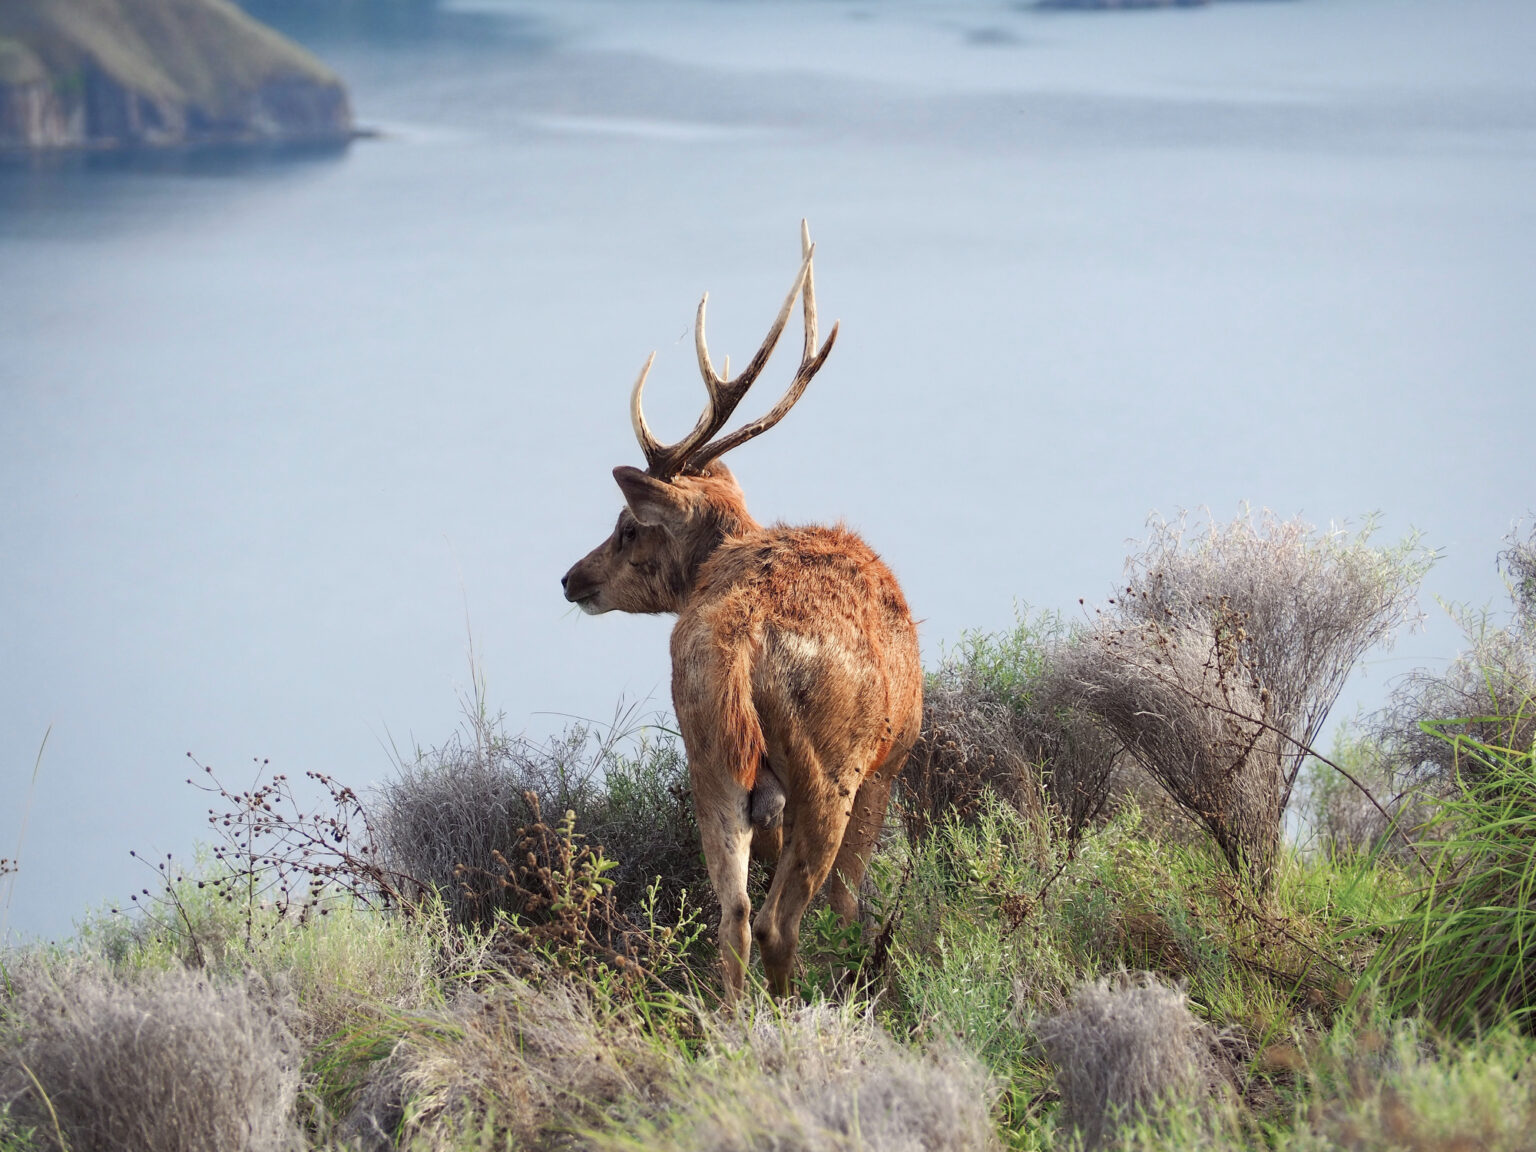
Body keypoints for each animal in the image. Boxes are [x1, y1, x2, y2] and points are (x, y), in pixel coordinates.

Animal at [561, 223, 923, 1002]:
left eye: (627, 528)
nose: (571, 578)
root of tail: (742, 638)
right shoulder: (892, 758)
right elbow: (850, 903)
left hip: (709, 749)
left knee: (733, 915)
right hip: (832, 768)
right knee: (783, 919)